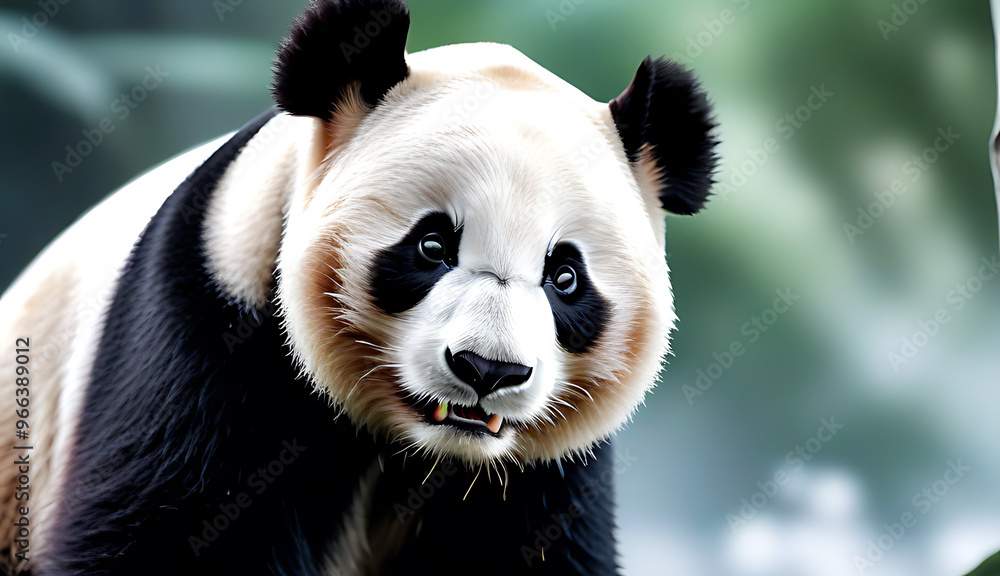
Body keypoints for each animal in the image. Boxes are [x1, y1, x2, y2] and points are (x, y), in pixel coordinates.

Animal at [0, 0, 716, 574]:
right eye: (432, 245)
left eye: (564, 276)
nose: (487, 369)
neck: (413, 445)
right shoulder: (209, 331)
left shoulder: (545, 473)